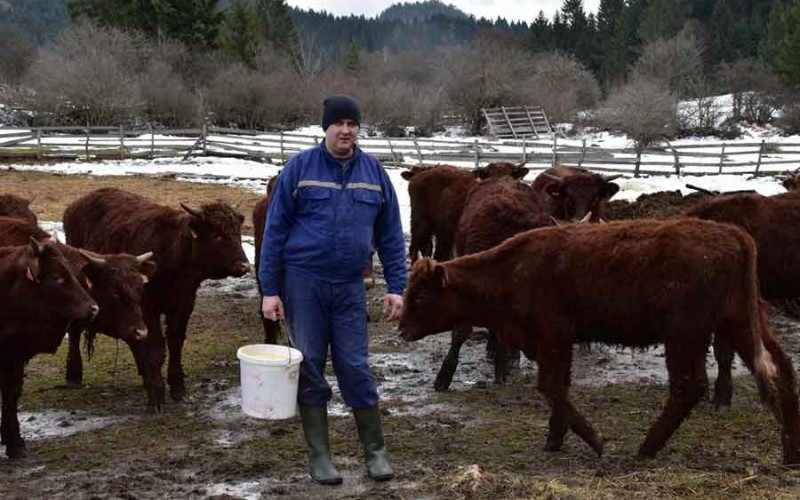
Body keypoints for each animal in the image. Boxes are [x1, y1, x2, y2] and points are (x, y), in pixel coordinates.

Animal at [62, 187, 248, 410]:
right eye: (218, 235)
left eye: (237, 232)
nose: (245, 265)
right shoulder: (147, 307)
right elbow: (156, 348)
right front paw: (156, 395)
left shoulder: (183, 305)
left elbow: (175, 343)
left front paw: (177, 388)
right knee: (75, 330)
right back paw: (73, 375)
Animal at [400, 217, 800, 466]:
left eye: (421, 295)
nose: (402, 330)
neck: (512, 270)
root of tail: (735, 235)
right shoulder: (556, 344)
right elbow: (559, 389)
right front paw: (554, 440)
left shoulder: (553, 336)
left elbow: (551, 387)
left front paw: (595, 440)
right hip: (740, 325)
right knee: (779, 374)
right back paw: (789, 454)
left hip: (684, 336)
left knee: (688, 386)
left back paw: (646, 448)